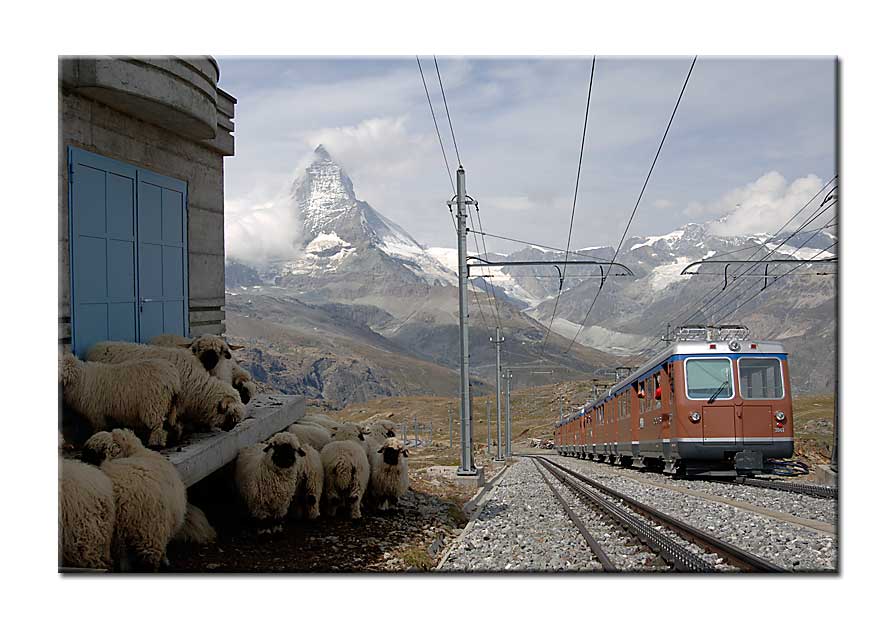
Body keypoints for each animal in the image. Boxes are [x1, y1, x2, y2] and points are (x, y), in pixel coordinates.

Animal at [85, 430, 188, 572]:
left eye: (92, 454)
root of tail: (120, 493)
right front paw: (166, 560)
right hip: (149, 531)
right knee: (147, 562)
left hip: (117, 533)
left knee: (123, 558)